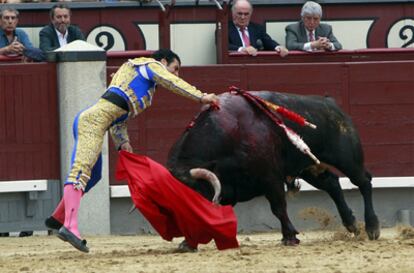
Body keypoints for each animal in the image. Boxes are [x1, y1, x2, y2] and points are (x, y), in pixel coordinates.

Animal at [167, 90, 380, 243]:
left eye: (195, 195)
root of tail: (331, 103)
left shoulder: (270, 178)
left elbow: (278, 207)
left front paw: (290, 236)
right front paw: (188, 243)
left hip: (348, 160)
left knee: (363, 182)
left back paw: (372, 227)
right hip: (310, 168)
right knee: (333, 185)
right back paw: (351, 224)